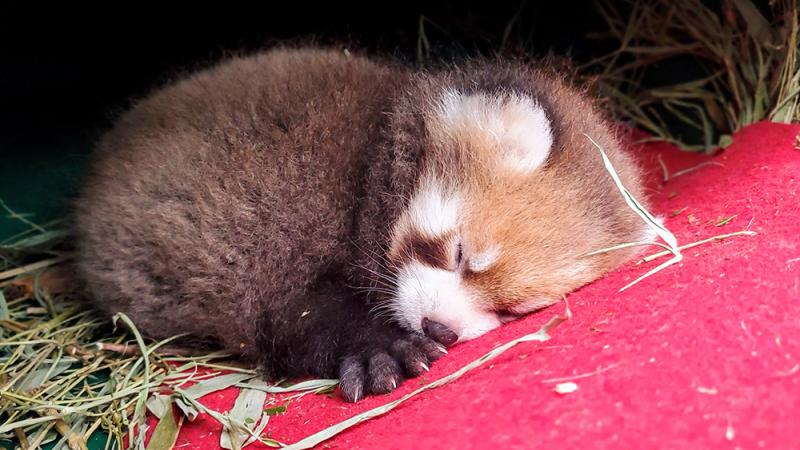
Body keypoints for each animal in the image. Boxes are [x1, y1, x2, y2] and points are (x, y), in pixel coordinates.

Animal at [73, 47, 648, 402]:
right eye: (459, 254)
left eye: (515, 310)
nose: (439, 328)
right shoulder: (283, 246)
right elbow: (305, 313)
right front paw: (383, 349)